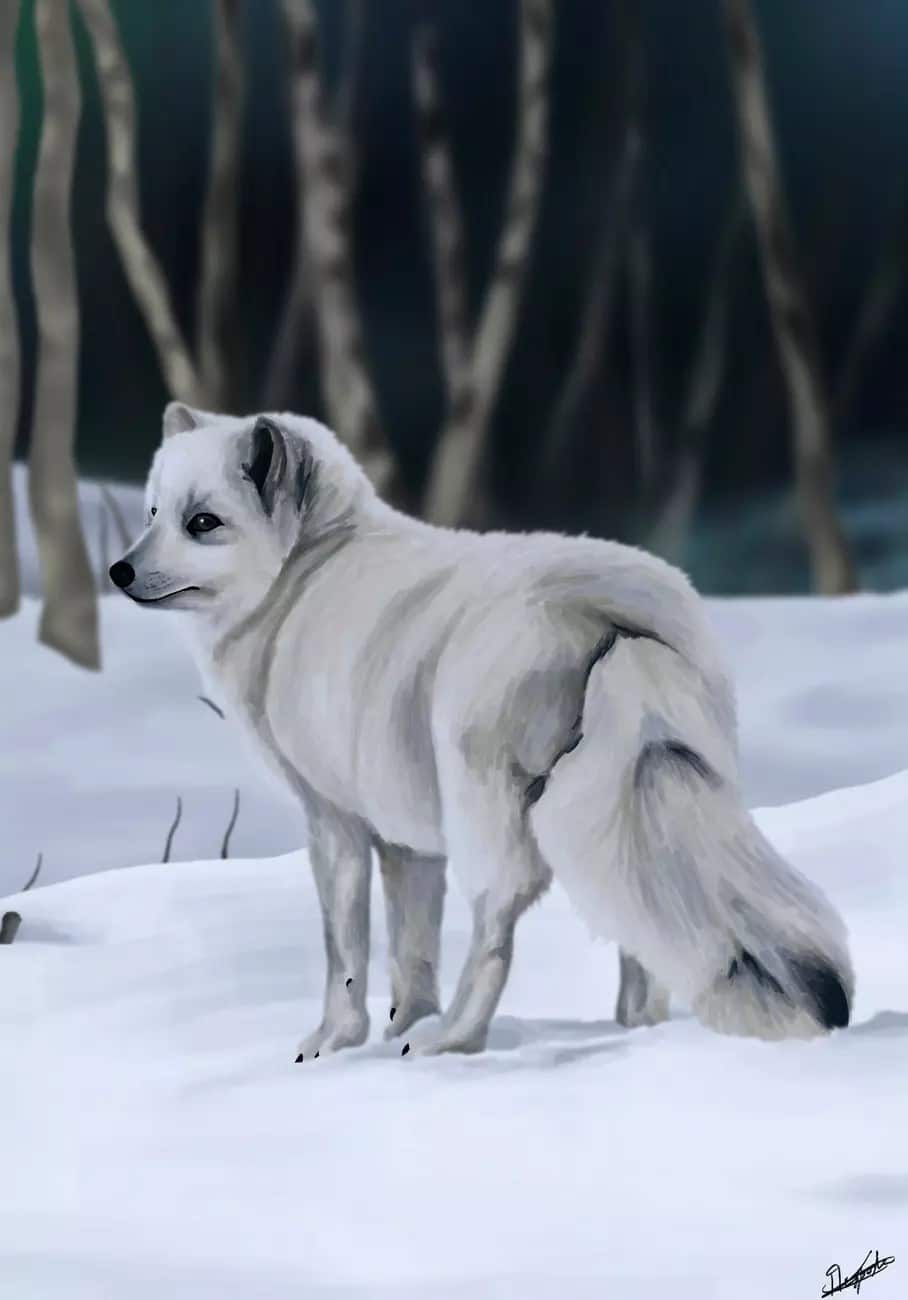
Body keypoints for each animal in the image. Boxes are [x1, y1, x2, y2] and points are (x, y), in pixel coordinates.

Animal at [109, 403, 853, 1057]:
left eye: (203, 523)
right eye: (152, 514)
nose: (118, 570)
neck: (306, 575)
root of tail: (611, 613)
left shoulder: (335, 821)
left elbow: (345, 949)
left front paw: (334, 1043)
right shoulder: (407, 840)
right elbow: (413, 950)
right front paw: (400, 1025)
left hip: (487, 808)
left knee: (499, 921)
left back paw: (455, 1041)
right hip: (628, 806)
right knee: (635, 932)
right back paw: (629, 1030)